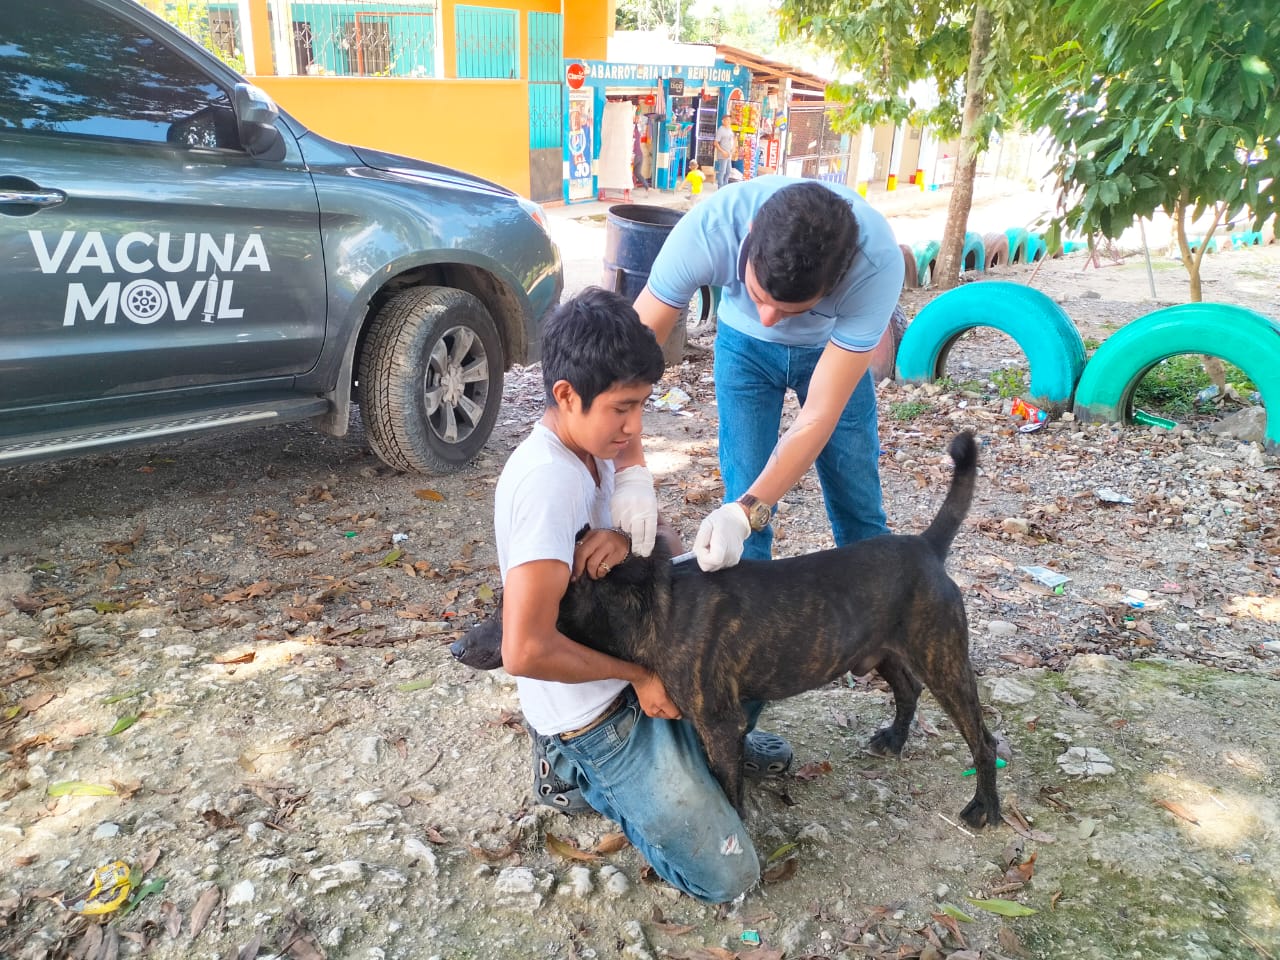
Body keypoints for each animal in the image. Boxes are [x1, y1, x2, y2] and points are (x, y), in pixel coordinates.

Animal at [453, 431, 999, 827]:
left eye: (506, 607)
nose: (456, 647)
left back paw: (986, 807)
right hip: (886, 651)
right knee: (908, 690)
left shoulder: (719, 724)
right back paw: (896, 740)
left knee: (983, 739)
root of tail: (926, 546)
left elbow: (727, 788)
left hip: (944, 660)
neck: (648, 606)